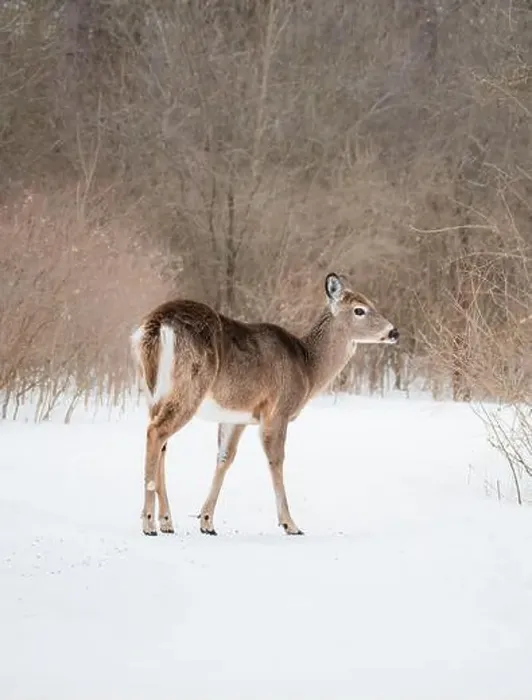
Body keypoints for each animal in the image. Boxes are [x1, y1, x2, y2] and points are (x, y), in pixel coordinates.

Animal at [130, 272, 399, 537]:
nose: (394, 332)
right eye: (359, 310)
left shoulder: (237, 415)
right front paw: (290, 524)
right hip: (190, 384)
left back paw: (166, 521)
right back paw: (149, 523)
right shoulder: (277, 409)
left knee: (162, 442)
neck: (308, 369)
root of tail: (156, 324)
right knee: (156, 432)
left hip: (153, 392)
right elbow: (276, 459)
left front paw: (206, 522)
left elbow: (225, 458)